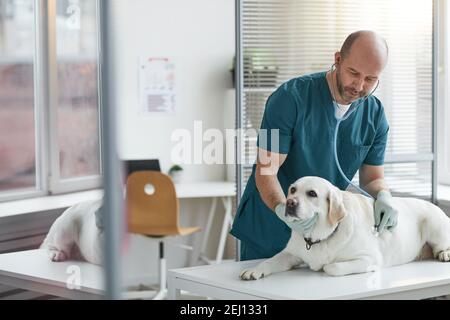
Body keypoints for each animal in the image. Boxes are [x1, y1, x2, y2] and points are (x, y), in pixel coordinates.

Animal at [241, 176, 450, 278]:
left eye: (312, 193)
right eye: (292, 190)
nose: (290, 203)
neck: (319, 238)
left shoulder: (369, 257)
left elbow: (331, 267)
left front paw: (325, 265)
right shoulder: (290, 254)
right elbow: (271, 260)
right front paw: (254, 270)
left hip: (434, 224)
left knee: (442, 245)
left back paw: (444, 254)